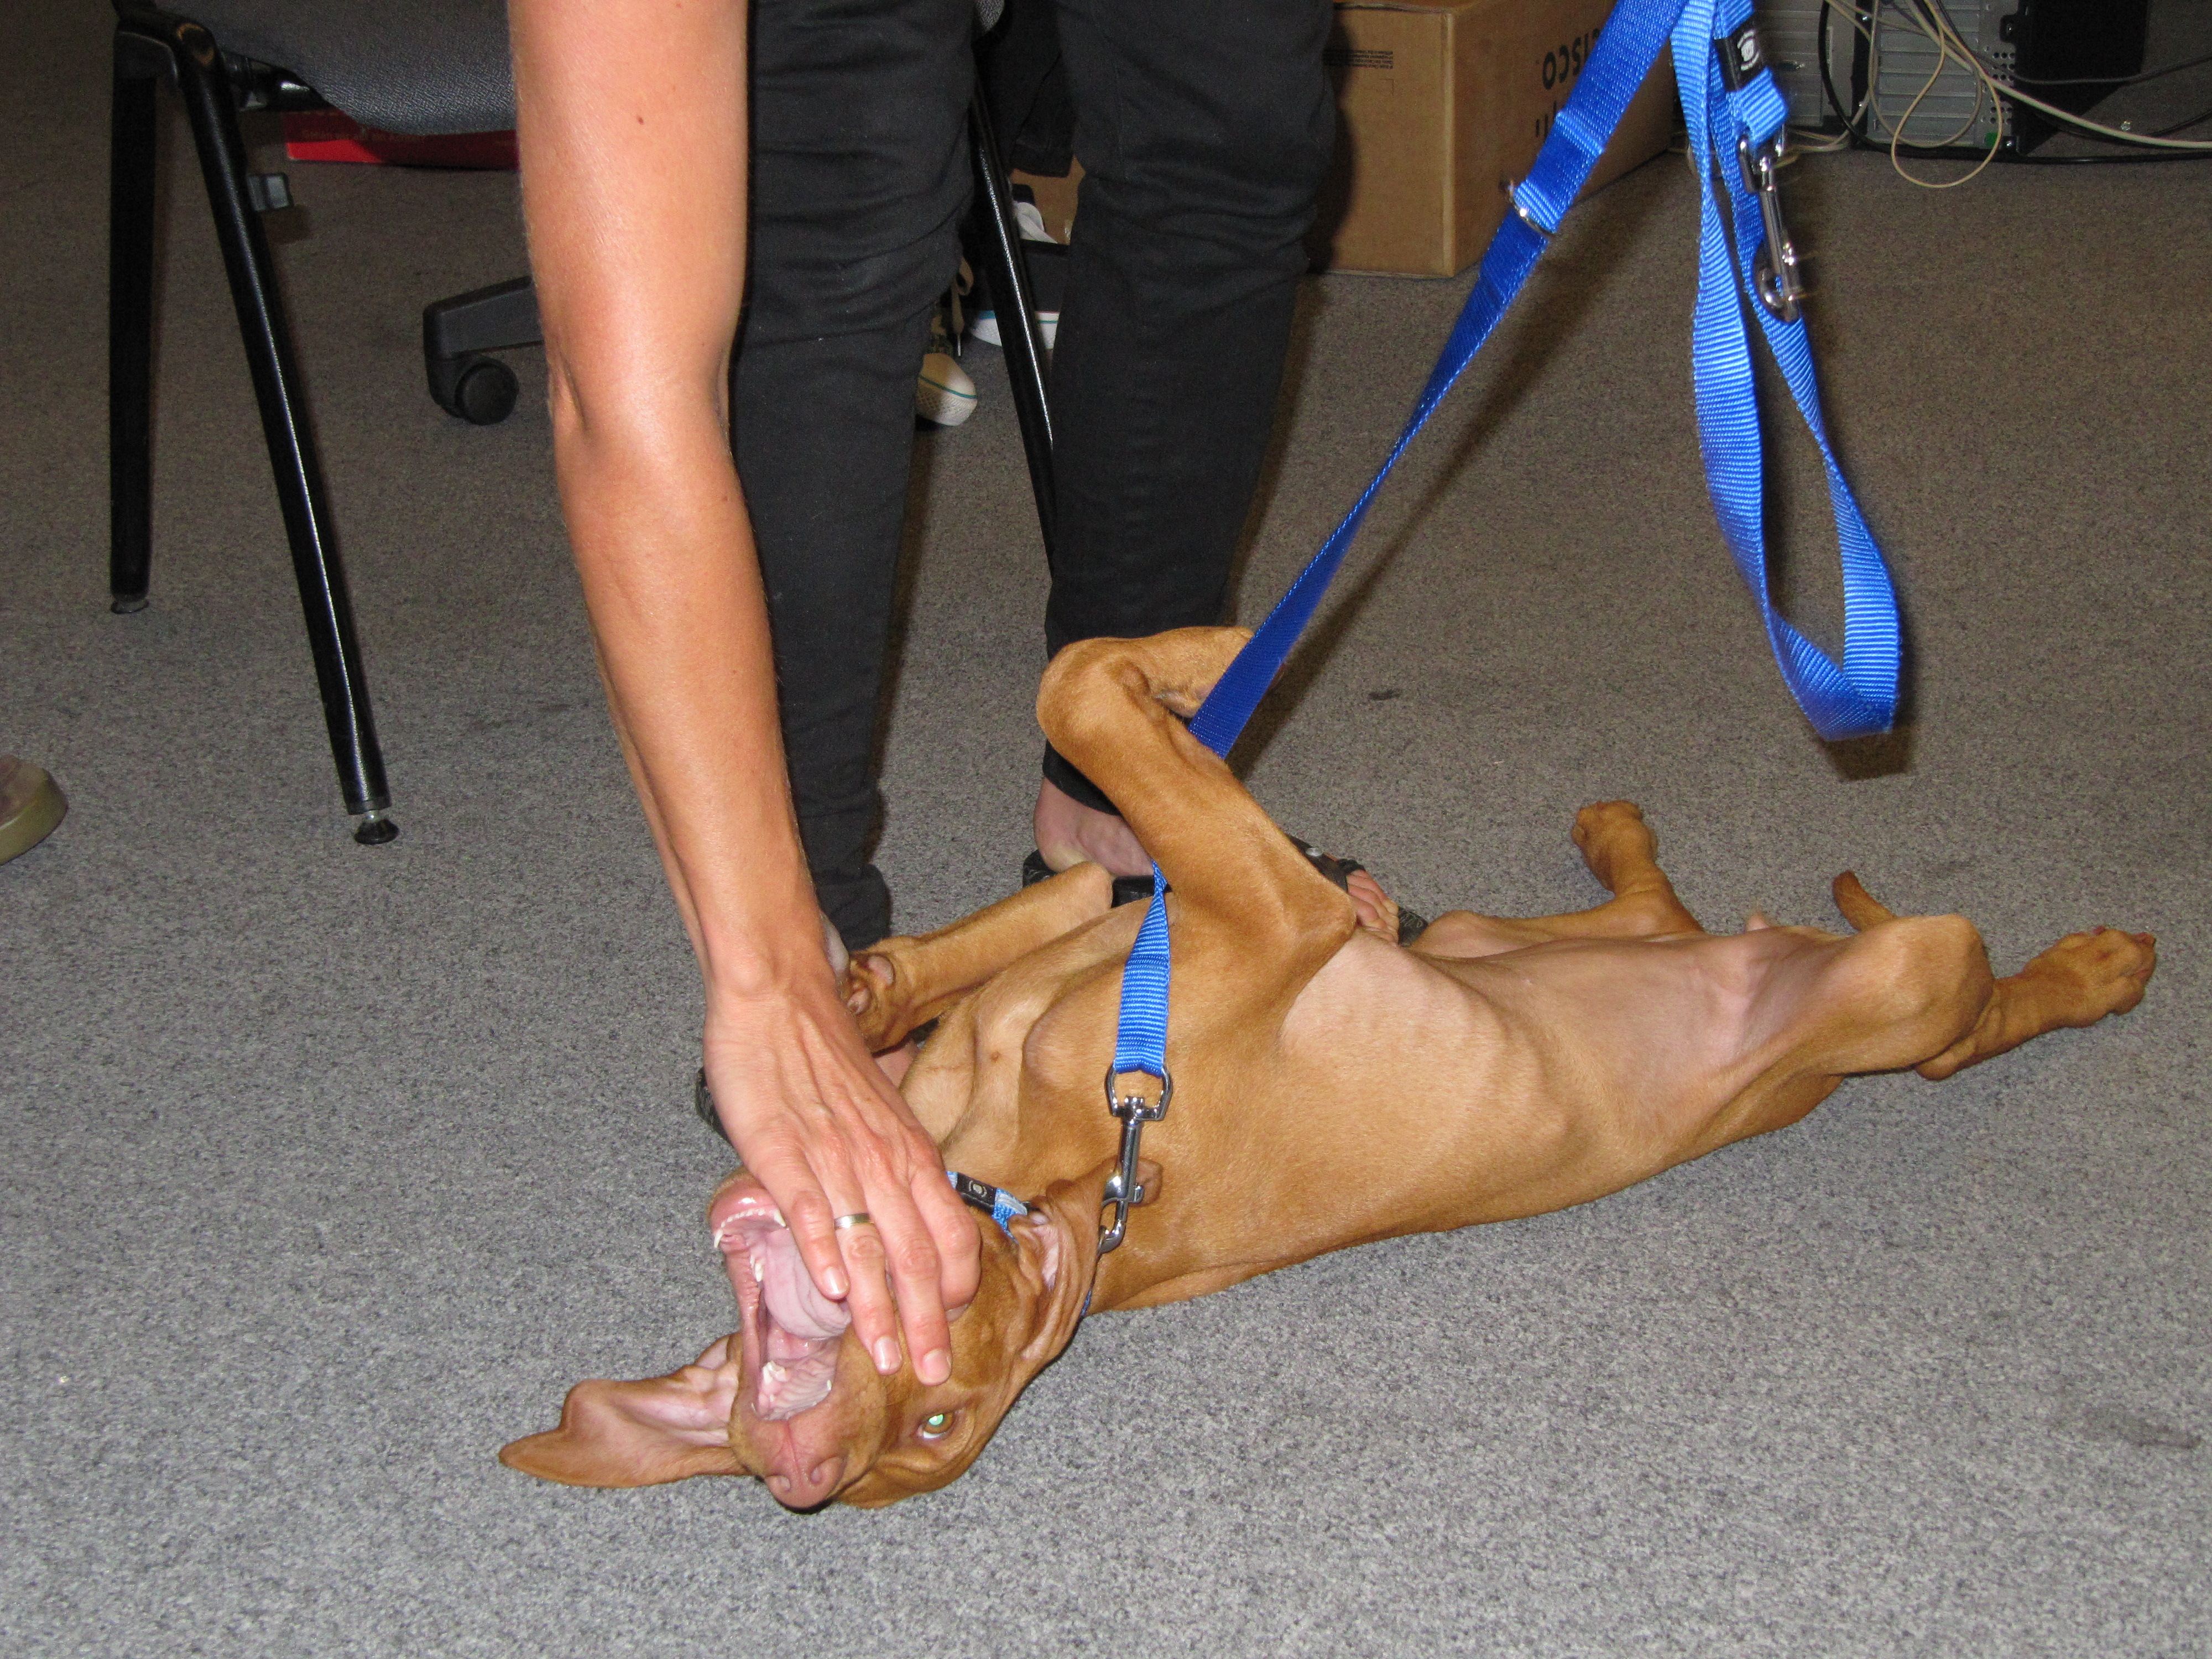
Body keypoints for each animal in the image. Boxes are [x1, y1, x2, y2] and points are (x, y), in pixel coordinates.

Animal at [501, 627, 2156, 1509]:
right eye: (934, 1428)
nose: (800, 1462)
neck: (1052, 1159)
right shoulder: (1244, 904)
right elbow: (1075, 688)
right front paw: (1215, 657)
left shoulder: (1120, 897)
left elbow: (1053, 780)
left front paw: (857, 988)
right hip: (1899, 978)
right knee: (1955, 1023)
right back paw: (2096, 969)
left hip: (1489, 936)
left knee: (1650, 907)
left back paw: (1601, 837)